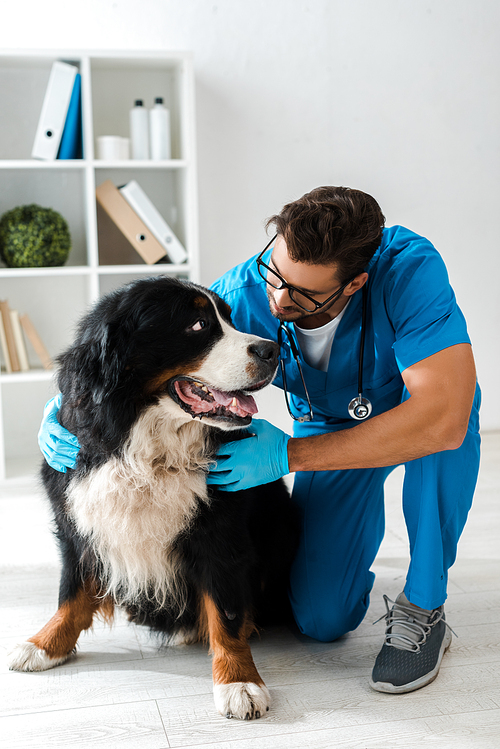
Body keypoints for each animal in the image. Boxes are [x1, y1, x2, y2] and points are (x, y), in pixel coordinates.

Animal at [7, 274, 296, 720]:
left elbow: (227, 610)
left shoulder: (219, 531)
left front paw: (239, 681)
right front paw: (44, 644)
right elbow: (71, 590)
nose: (272, 349)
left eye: (229, 319)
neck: (147, 450)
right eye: (197, 325)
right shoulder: (77, 516)